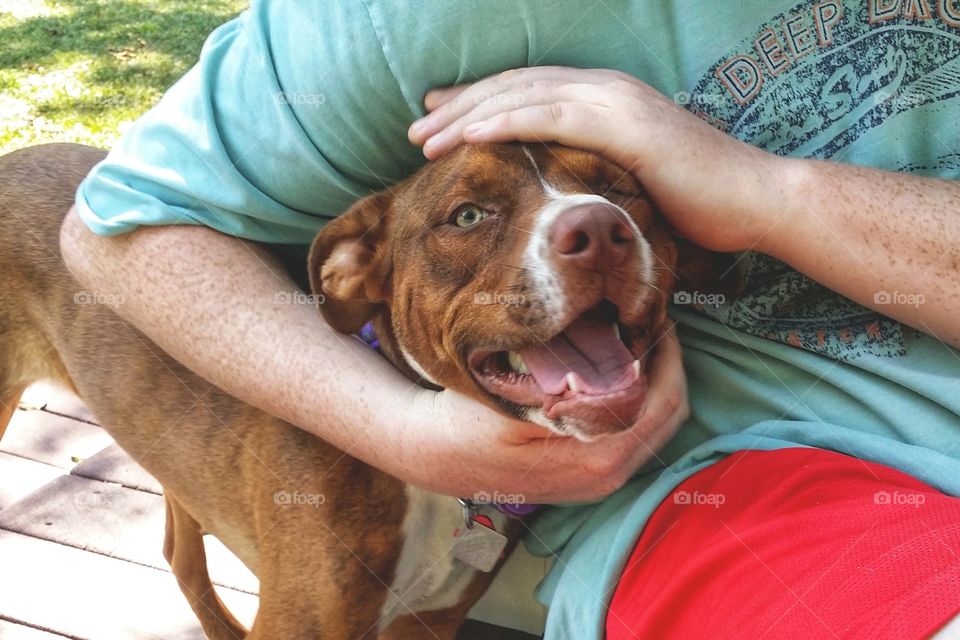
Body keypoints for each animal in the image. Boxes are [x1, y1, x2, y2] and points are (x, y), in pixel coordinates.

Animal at [0, 142, 720, 636]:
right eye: (468, 215)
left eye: (620, 191)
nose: (599, 230)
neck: (435, 495)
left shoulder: (427, 625)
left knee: (179, 546)